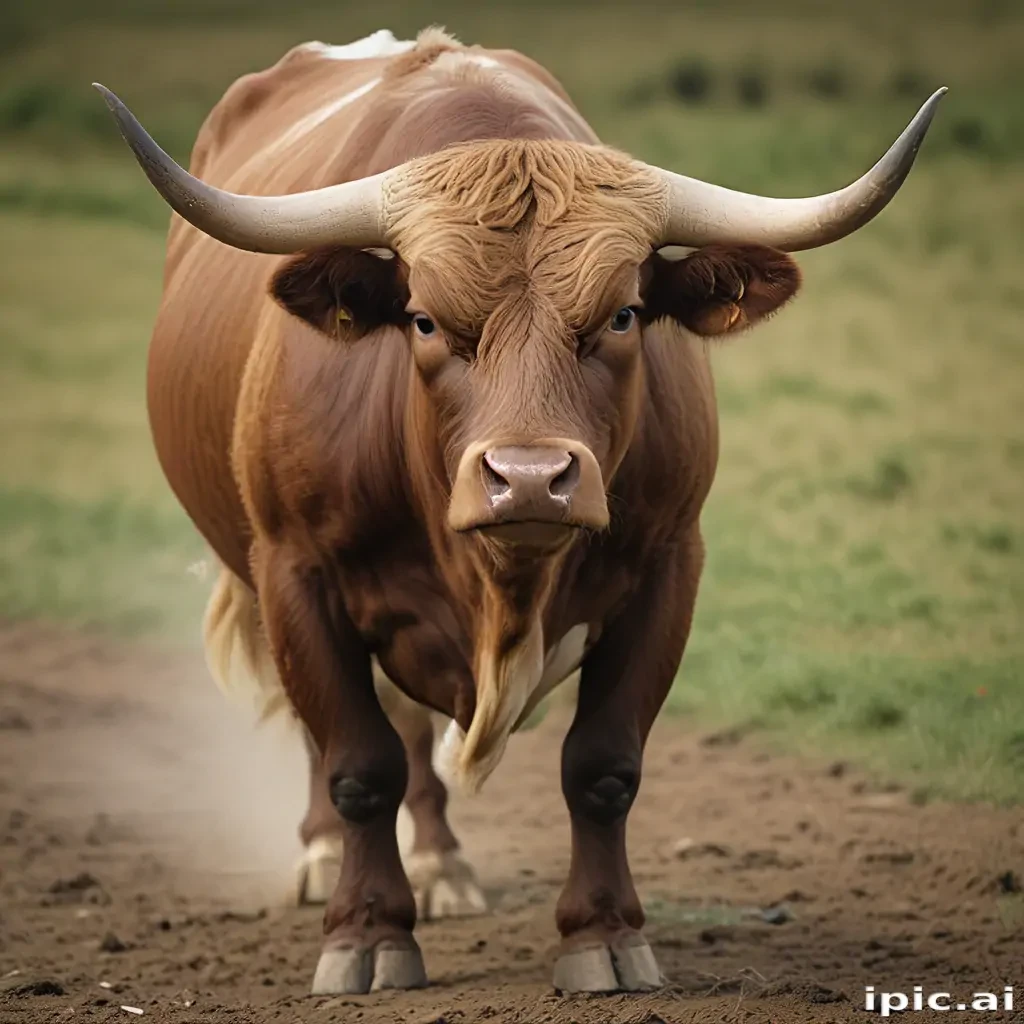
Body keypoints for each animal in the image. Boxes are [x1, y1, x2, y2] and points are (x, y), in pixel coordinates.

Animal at [96, 27, 943, 996]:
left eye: (624, 314)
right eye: (424, 320)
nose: (530, 479)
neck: (503, 594)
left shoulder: (668, 570)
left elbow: (603, 767)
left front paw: (603, 935)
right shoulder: (295, 572)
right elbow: (359, 762)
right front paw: (366, 935)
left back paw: (441, 865)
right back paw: (326, 858)